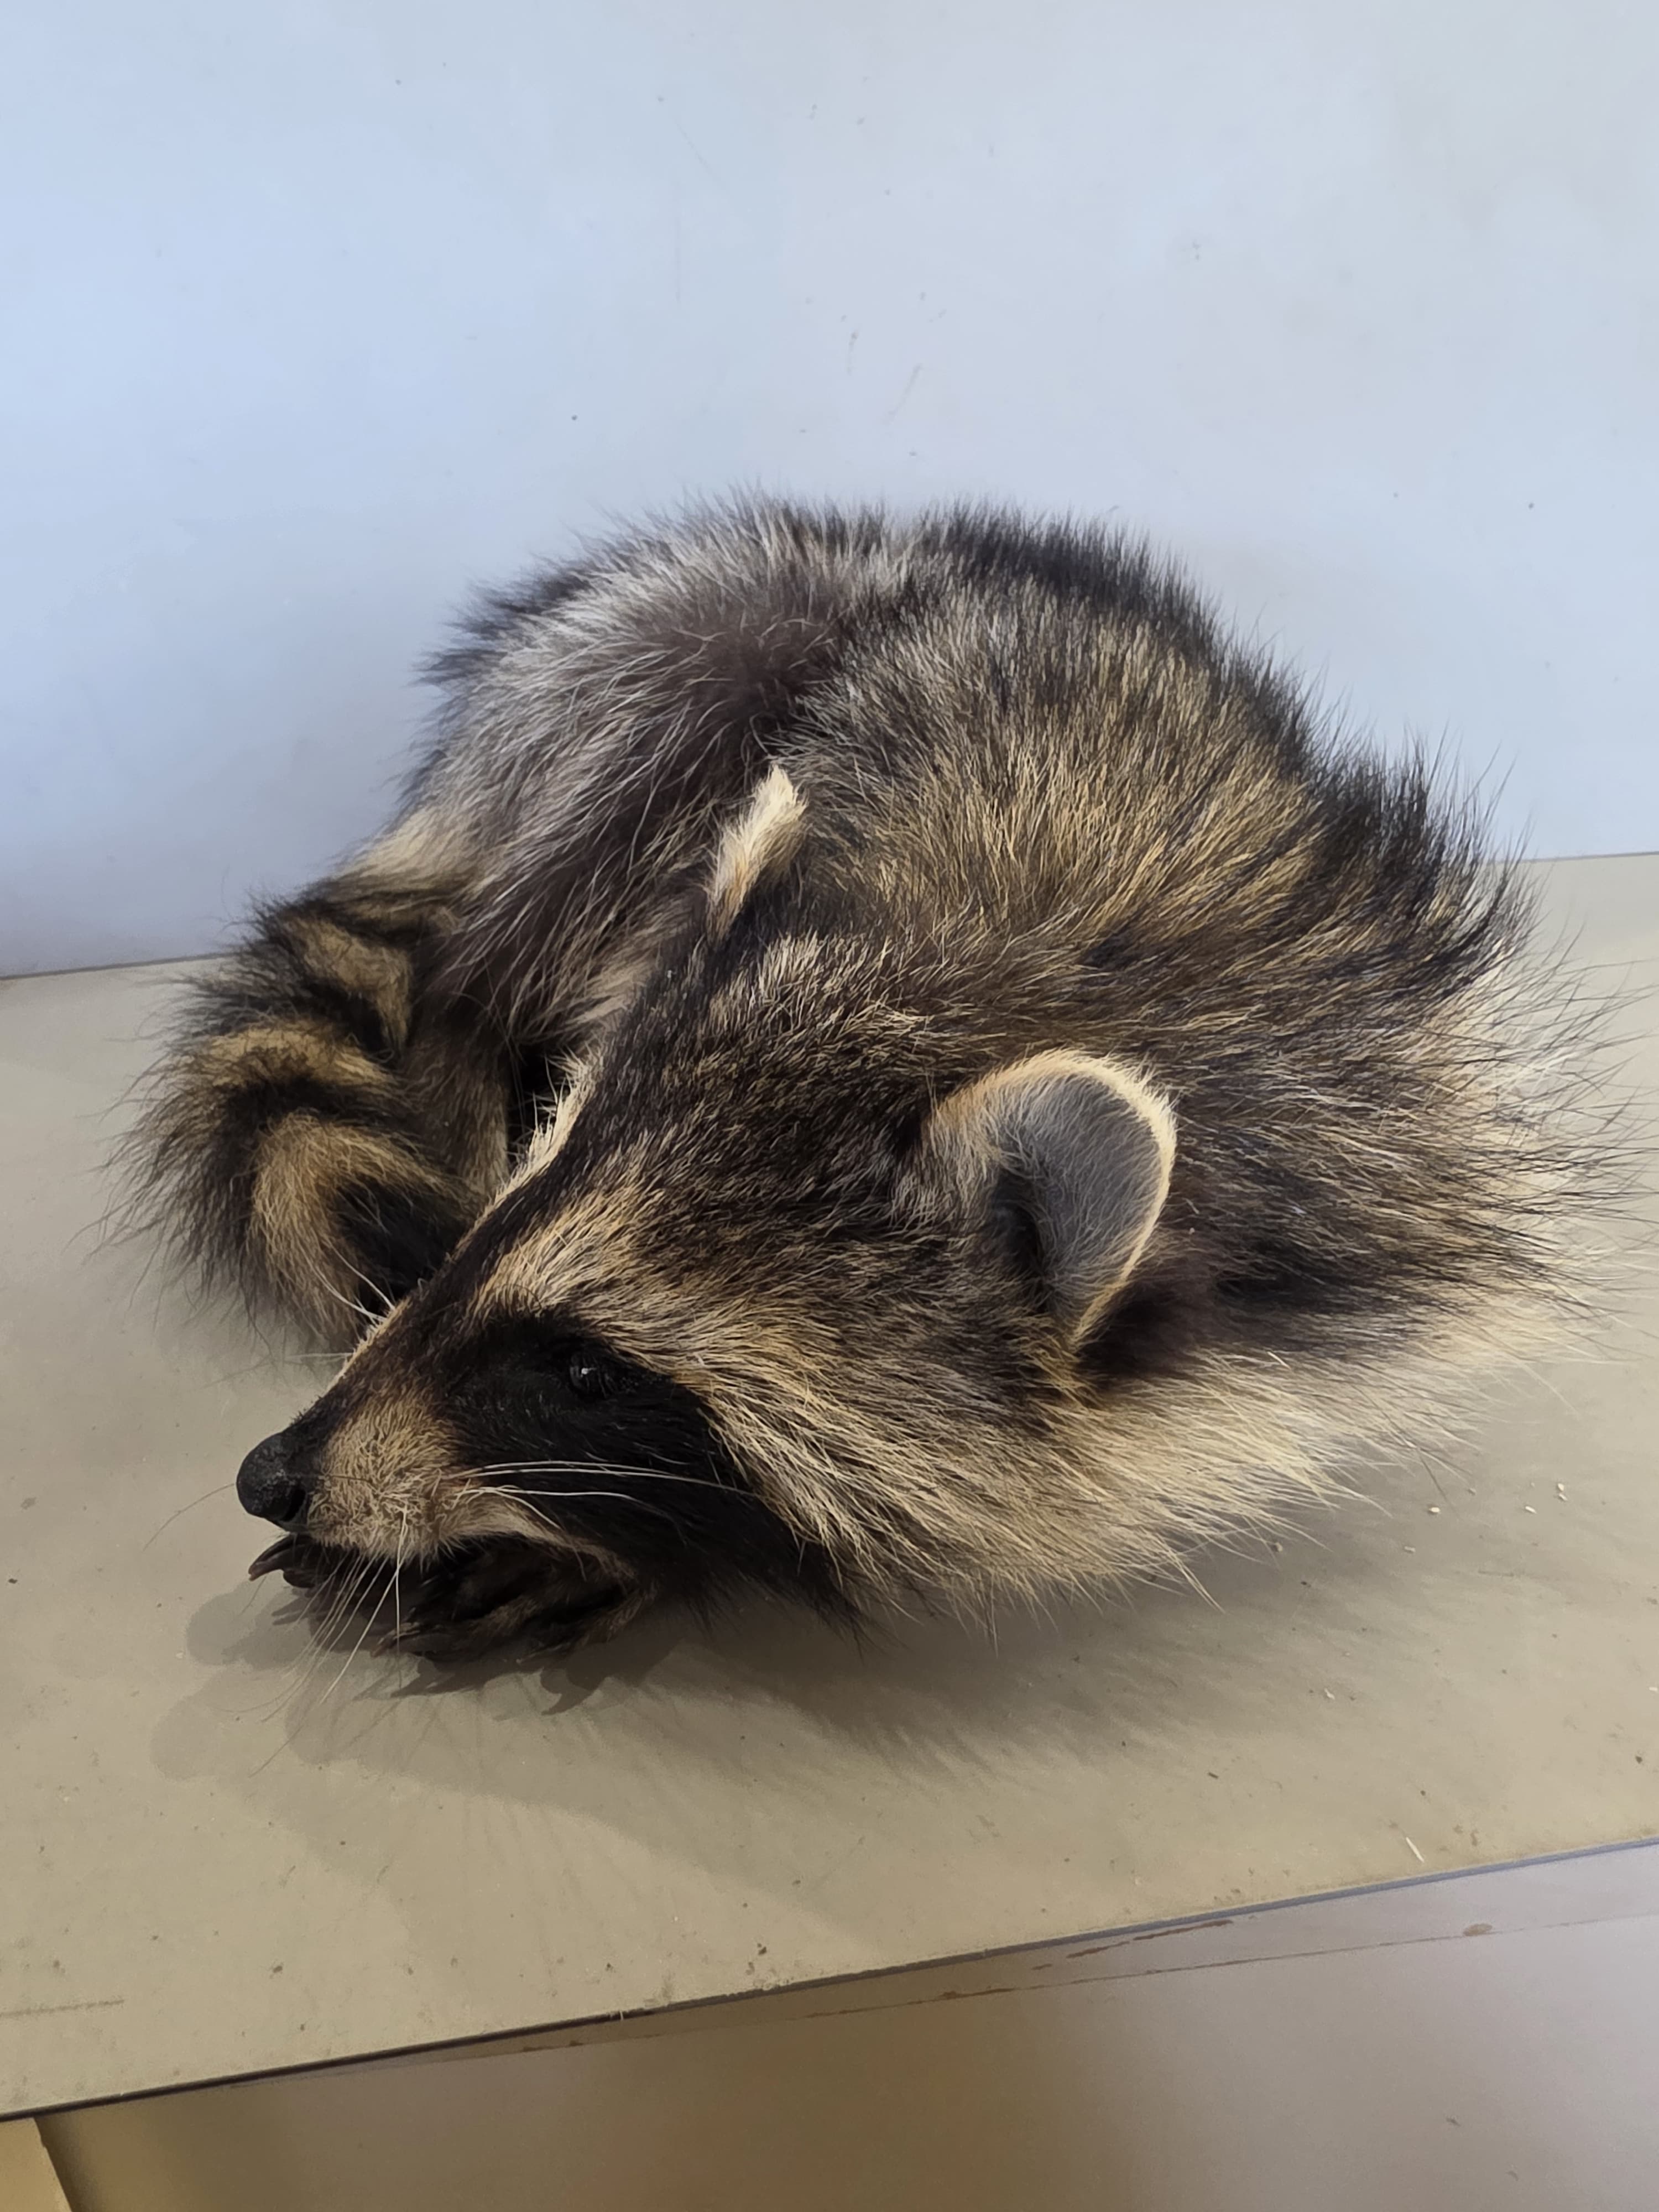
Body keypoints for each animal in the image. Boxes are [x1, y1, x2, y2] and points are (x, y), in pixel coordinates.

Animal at [128, 500, 1612, 1657]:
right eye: (495, 1222)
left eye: (586, 1370)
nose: (273, 1472)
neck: (1030, 965)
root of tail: (894, 547)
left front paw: (600, 1545)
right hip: (654, 643)